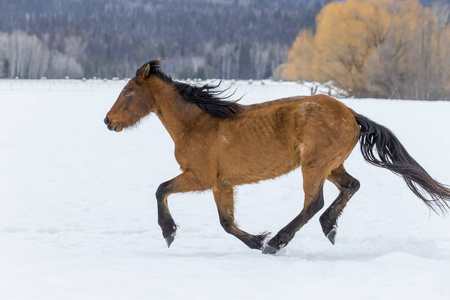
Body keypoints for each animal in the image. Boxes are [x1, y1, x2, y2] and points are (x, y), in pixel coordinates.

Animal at [104, 59, 450, 253]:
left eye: (127, 92)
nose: (108, 121)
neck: (197, 123)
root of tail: (352, 114)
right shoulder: (221, 184)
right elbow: (226, 222)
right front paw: (255, 240)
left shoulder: (199, 177)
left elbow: (161, 189)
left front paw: (168, 232)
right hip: (332, 165)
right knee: (351, 186)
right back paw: (328, 229)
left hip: (314, 165)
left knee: (314, 203)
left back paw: (279, 242)